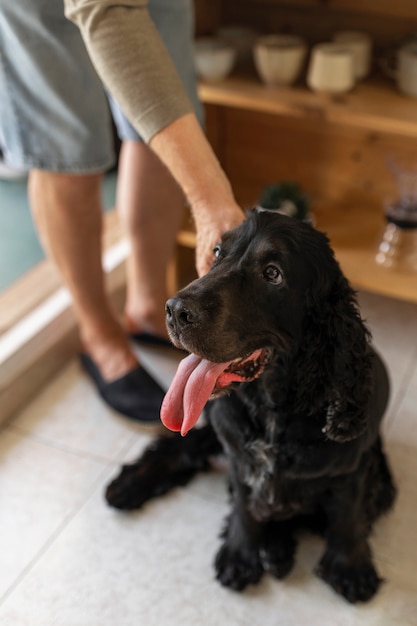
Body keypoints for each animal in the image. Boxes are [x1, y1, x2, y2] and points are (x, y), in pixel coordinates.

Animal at [105, 208, 394, 600]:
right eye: (216, 251)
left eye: (272, 273)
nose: (176, 310)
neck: (275, 410)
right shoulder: (237, 450)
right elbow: (244, 505)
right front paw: (240, 553)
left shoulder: (353, 466)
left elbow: (348, 514)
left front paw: (350, 567)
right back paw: (129, 484)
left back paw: (277, 550)